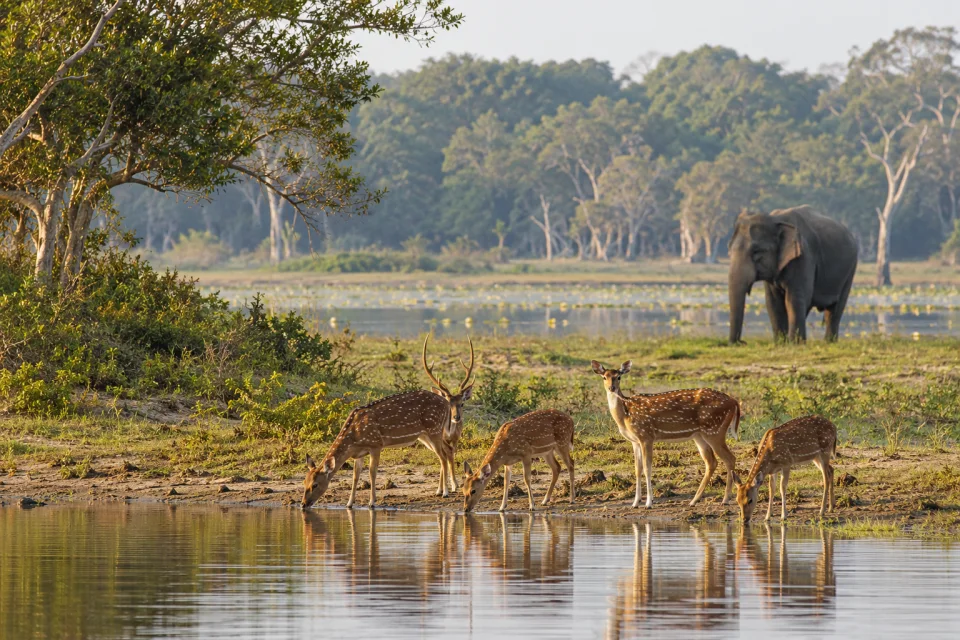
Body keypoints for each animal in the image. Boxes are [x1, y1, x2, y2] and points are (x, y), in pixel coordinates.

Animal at [302, 335, 475, 510]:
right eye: (304, 482)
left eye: (315, 484)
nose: (303, 503)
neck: (354, 436)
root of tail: (445, 402)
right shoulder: (359, 453)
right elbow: (355, 476)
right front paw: (349, 504)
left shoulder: (376, 444)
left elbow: (372, 472)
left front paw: (372, 502)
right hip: (426, 435)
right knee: (444, 453)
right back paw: (441, 490)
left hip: (434, 429)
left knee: (443, 457)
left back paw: (445, 492)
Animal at [591, 360, 740, 509]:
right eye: (604, 377)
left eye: (619, 377)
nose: (611, 388)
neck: (624, 415)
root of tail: (734, 402)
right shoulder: (634, 441)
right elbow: (637, 469)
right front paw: (635, 503)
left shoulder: (646, 435)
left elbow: (647, 468)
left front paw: (649, 503)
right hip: (700, 435)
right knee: (711, 462)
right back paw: (694, 500)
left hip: (715, 430)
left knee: (730, 458)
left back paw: (725, 499)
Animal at [728, 205, 858, 343]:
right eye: (729, 249)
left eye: (757, 251)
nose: (742, 342)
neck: (775, 219)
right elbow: (773, 302)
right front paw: (781, 343)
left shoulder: (803, 257)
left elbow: (794, 298)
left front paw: (795, 343)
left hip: (851, 269)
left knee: (835, 309)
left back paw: (829, 342)